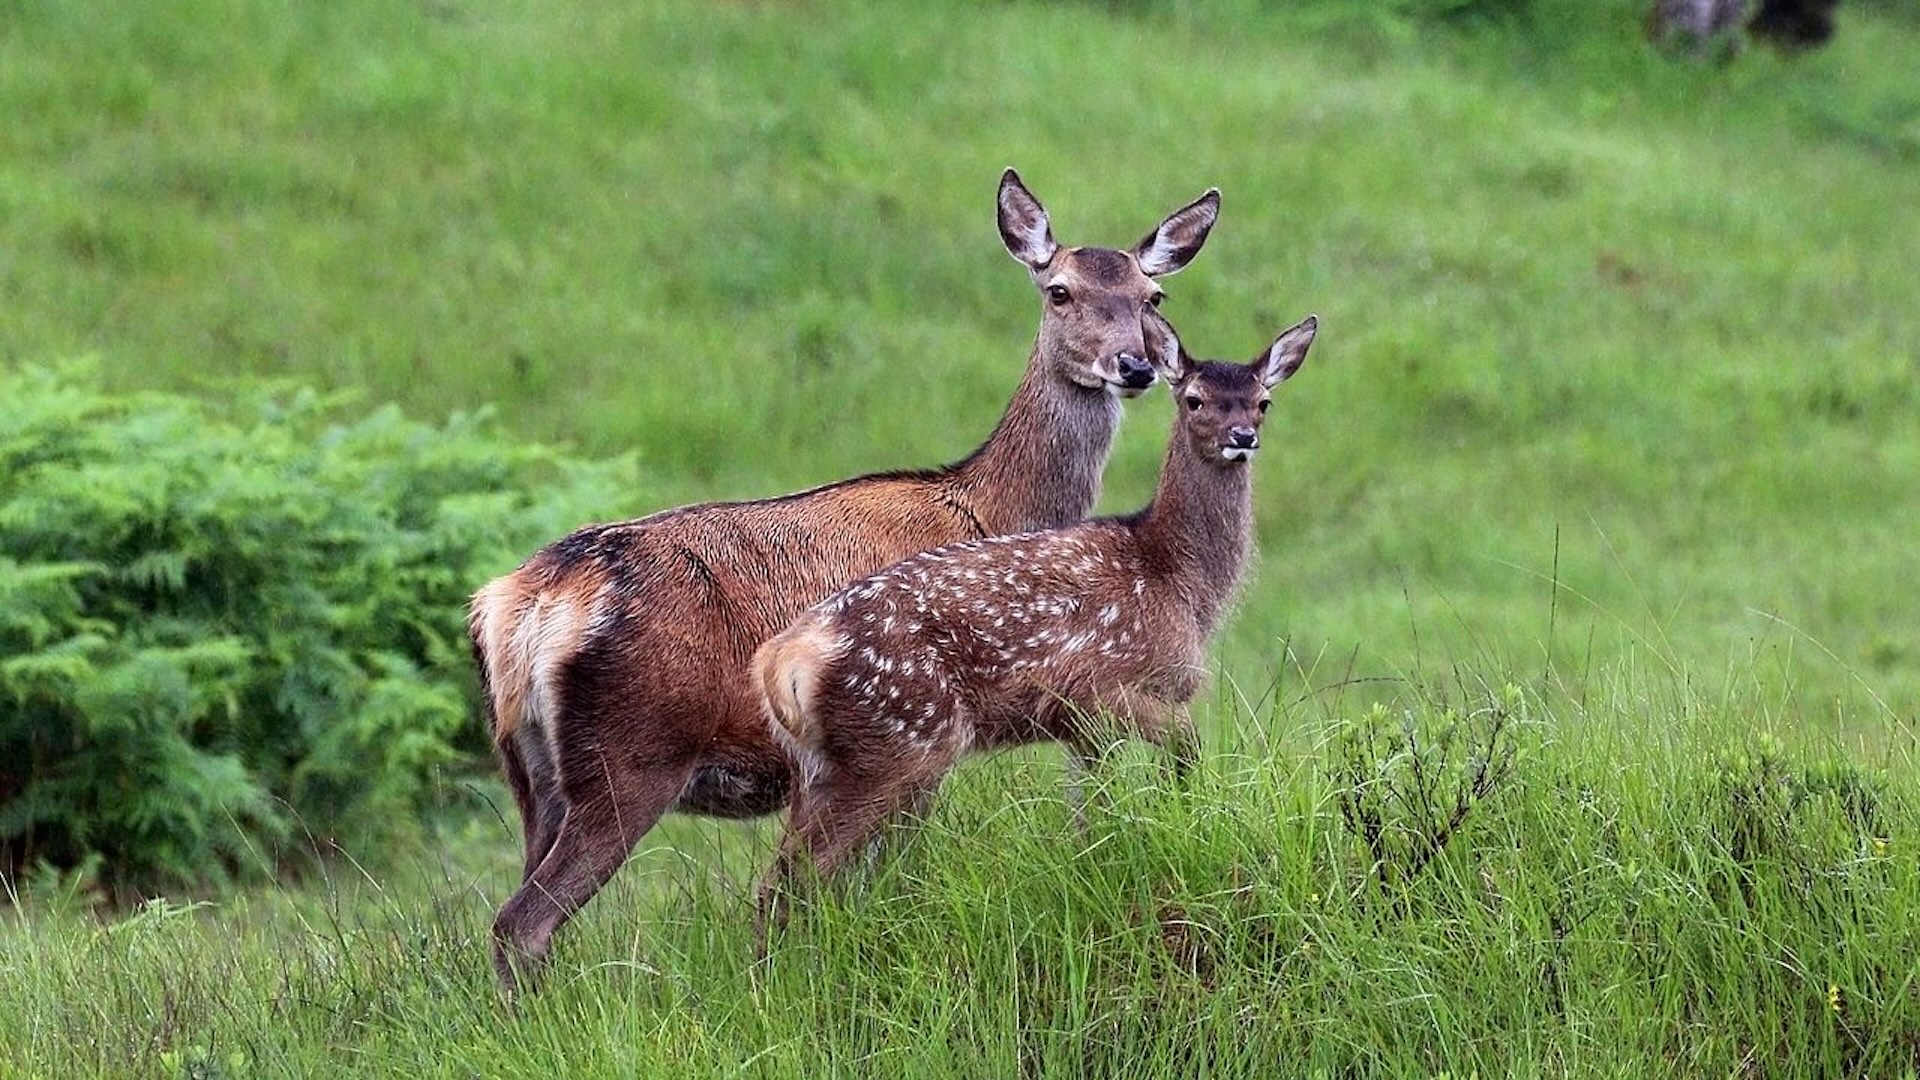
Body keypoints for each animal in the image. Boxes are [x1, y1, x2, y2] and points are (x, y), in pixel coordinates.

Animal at [468, 170, 1213, 991]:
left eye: (1152, 296)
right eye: (1059, 291)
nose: (1134, 366)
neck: (988, 508)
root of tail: (529, 601)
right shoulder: (918, 739)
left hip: (529, 769)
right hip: (631, 752)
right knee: (523, 924)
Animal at [756, 305, 1313, 933]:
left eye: (1263, 401)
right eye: (1194, 399)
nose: (1242, 438)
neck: (1175, 579)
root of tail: (784, 660)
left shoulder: (1083, 729)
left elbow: (1089, 810)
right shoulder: (1101, 684)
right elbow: (1187, 746)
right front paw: (1185, 815)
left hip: (829, 761)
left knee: (785, 874)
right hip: (900, 737)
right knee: (800, 876)